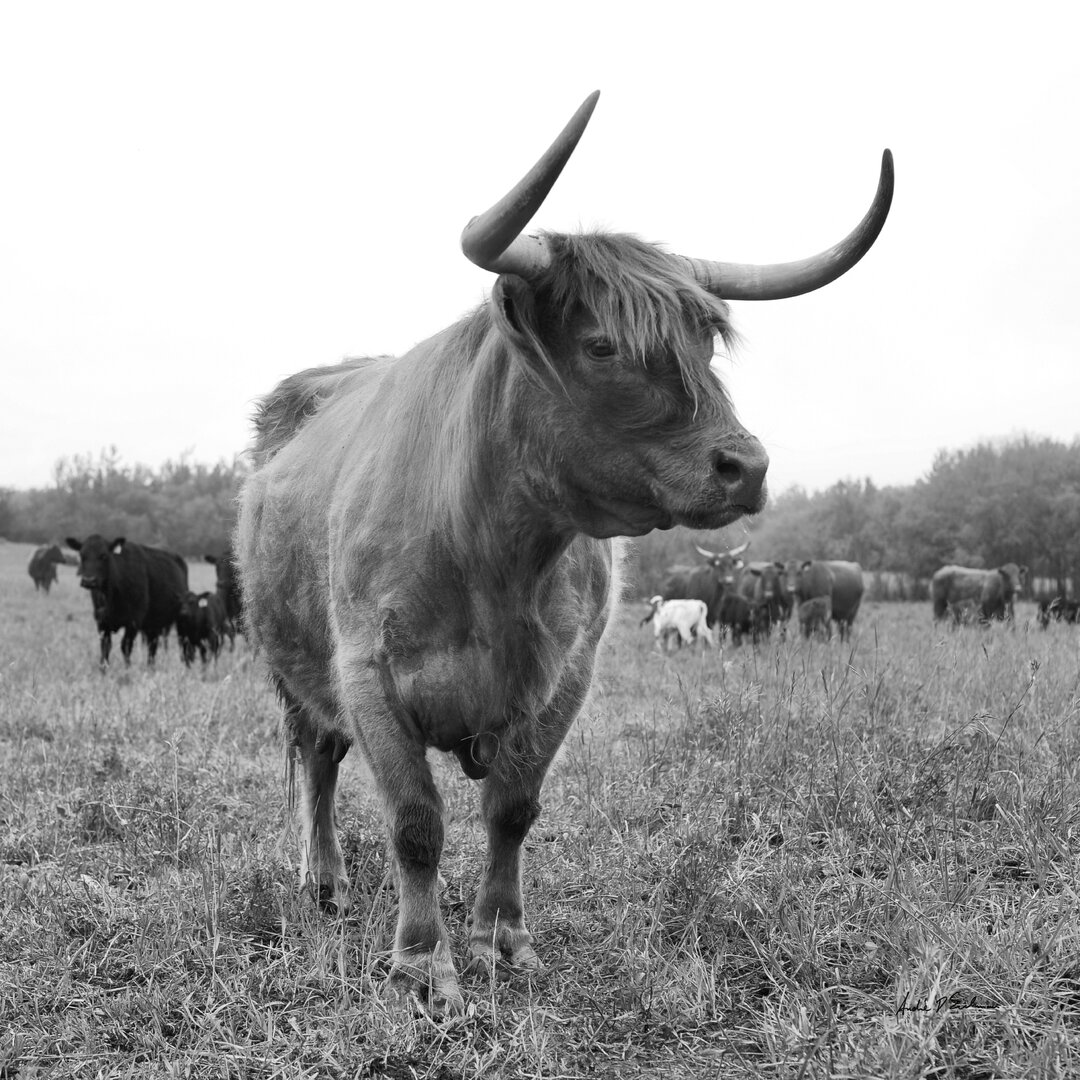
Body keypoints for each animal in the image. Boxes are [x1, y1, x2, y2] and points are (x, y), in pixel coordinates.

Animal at [66, 533, 187, 665]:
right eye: (82, 555)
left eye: (104, 555)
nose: (89, 580)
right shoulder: (102, 621)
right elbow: (105, 647)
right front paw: (103, 669)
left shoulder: (133, 621)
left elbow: (126, 646)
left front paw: (127, 668)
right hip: (153, 624)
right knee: (152, 646)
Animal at [236, 92, 894, 1010]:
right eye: (602, 345)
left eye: (705, 343)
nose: (747, 466)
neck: (495, 557)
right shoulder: (368, 671)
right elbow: (416, 821)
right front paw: (424, 963)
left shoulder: (567, 676)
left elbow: (513, 810)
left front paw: (502, 940)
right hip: (293, 665)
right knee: (319, 759)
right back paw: (323, 878)